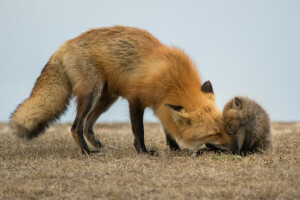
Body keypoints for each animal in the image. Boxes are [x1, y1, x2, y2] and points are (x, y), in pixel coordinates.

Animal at [8, 25, 230, 155]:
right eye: (214, 133)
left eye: (226, 128)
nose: (235, 147)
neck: (173, 79)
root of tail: (65, 45)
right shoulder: (136, 100)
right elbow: (139, 131)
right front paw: (143, 152)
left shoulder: (161, 104)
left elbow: (167, 127)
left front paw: (174, 147)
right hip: (91, 93)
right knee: (76, 126)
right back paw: (87, 152)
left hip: (106, 98)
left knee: (88, 125)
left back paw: (97, 144)